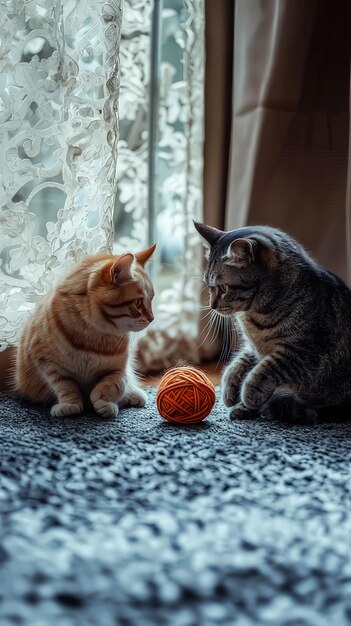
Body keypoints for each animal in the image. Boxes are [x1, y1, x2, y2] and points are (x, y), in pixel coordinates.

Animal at [15, 246, 155, 416]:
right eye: (138, 303)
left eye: (152, 299)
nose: (152, 318)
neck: (95, 336)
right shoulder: (47, 362)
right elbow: (65, 385)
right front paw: (70, 404)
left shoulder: (119, 367)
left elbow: (117, 382)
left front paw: (103, 400)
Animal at [194, 222, 351, 422]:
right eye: (209, 286)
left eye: (222, 288)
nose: (212, 305)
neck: (253, 315)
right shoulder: (253, 348)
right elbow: (239, 363)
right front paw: (230, 387)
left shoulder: (302, 352)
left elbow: (266, 370)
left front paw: (249, 393)